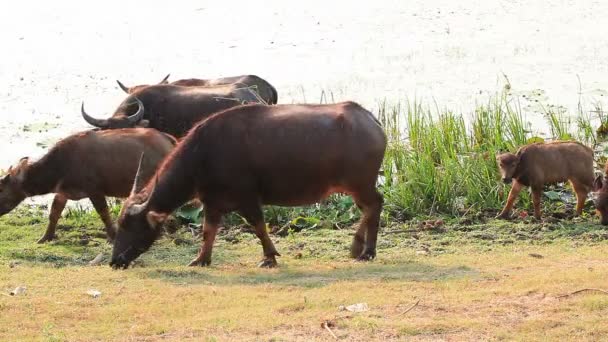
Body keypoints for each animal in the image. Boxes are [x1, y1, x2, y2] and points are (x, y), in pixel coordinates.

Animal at [0, 128, 176, 243]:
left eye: (1, 187)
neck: (60, 166)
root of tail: (169, 140)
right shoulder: (63, 192)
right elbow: (54, 213)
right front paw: (45, 237)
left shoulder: (95, 190)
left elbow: (104, 214)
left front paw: (112, 236)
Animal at [109, 101, 384, 270]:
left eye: (128, 225)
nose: (115, 261)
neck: (203, 154)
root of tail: (370, 120)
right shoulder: (213, 203)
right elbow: (208, 231)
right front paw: (201, 259)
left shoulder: (248, 198)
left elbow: (258, 226)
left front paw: (269, 257)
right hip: (357, 187)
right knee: (369, 209)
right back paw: (357, 247)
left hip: (361, 184)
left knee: (375, 205)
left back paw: (366, 251)